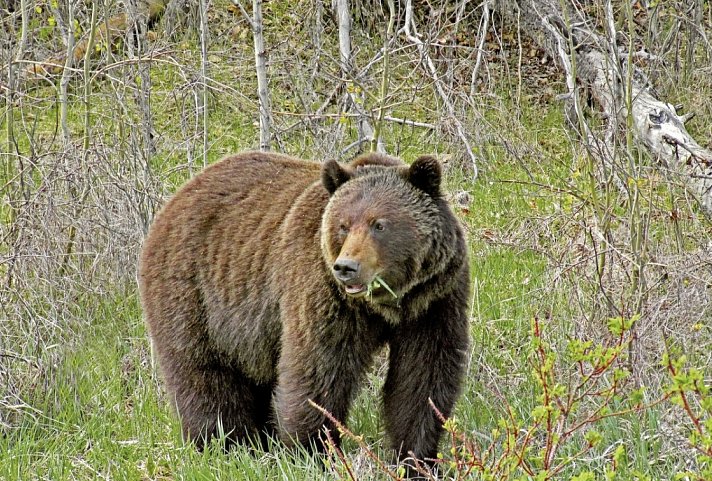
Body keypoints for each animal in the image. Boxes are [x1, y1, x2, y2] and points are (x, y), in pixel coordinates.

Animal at [139, 151, 472, 464]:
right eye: (343, 225)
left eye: (379, 224)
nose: (346, 267)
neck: (386, 305)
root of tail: (177, 198)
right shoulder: (323, 294)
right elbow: (317, 370)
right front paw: (313, 451)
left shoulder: (433, 301)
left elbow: (422, 377)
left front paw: (418, 456)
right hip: (196, 295)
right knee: (204, 375)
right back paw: (225, 444)